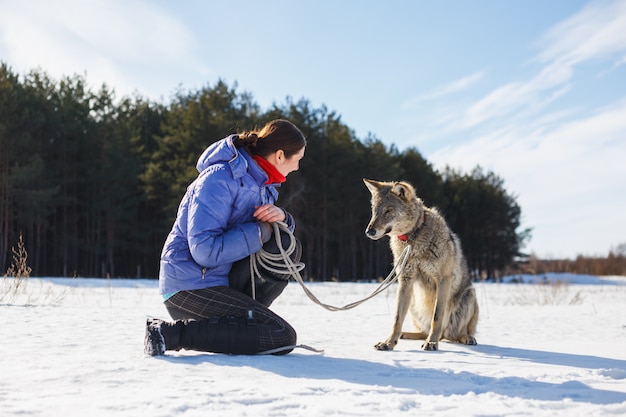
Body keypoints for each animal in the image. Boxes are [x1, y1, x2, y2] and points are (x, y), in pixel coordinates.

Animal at [360, 179, 478, 352]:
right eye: (374, 211)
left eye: (388, 210)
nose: (369, 231)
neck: (413, 238)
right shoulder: (405, 280)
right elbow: (397, 319)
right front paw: (389, 342)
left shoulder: (443, 280)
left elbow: (437, 316)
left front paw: (432, 343)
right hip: (414, 303)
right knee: (426, 331)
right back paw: (406, 335)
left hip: (469, 296)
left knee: (455, 334)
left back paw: (466, 338)